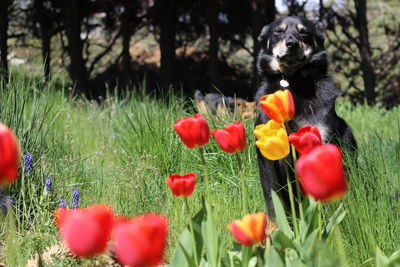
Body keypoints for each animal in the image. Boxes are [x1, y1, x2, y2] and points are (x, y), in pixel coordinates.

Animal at [255, 16, 358, 218]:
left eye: (304, 32)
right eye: (278, 31)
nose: (292, 43)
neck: (292, 81)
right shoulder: (267, 156)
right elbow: (273, 199)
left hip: (347, 135)